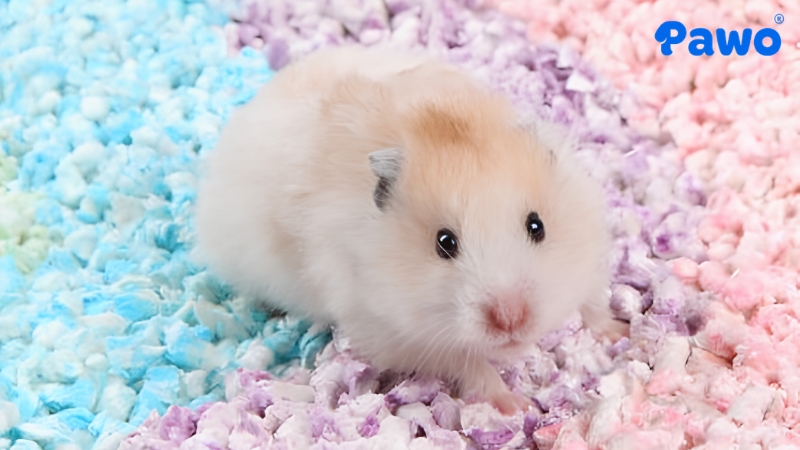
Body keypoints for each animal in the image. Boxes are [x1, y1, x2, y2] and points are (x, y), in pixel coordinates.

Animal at [194, 45, 625, 414]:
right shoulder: (398, 335)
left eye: (537, 226)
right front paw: (516, 406)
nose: (510, 320)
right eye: (444, 243)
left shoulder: (589, 254)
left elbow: (593, 302)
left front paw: (620, 333)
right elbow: (471, 364)